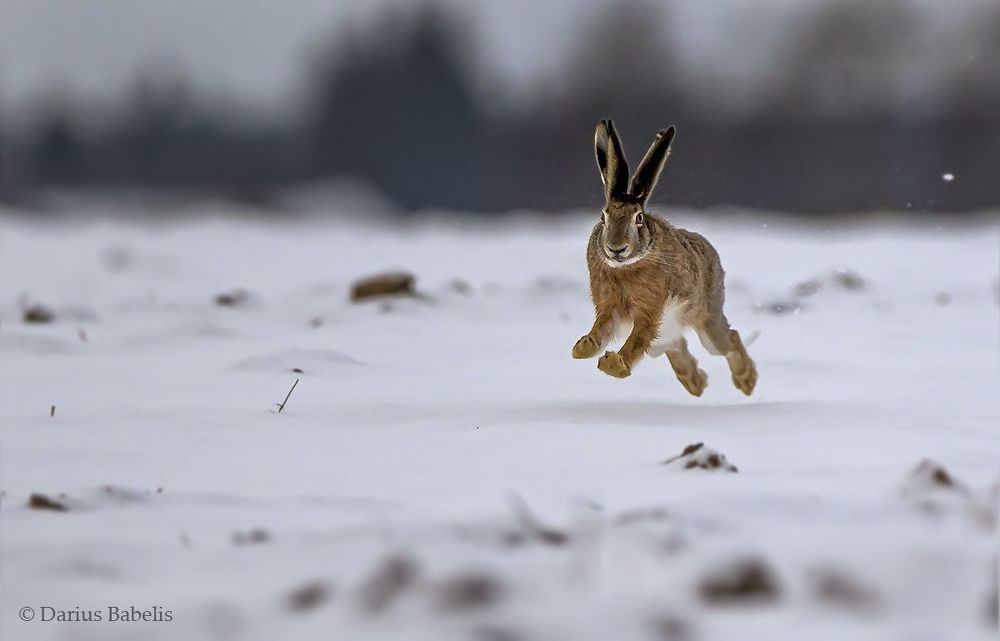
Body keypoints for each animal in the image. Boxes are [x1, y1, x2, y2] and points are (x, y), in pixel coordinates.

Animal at [571, 119, 758, 396]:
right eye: (603, 217)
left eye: (638, 218)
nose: (616, 249)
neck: (626, 267)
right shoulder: (608, 305)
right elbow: (601, 328)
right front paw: (583, 347)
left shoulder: (651, 309)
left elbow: (638, 338)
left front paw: (614, 365)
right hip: (666, 340)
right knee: (677, 346)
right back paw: (696, 383)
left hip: (707, 322)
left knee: (729, 339)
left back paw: (746, 381)